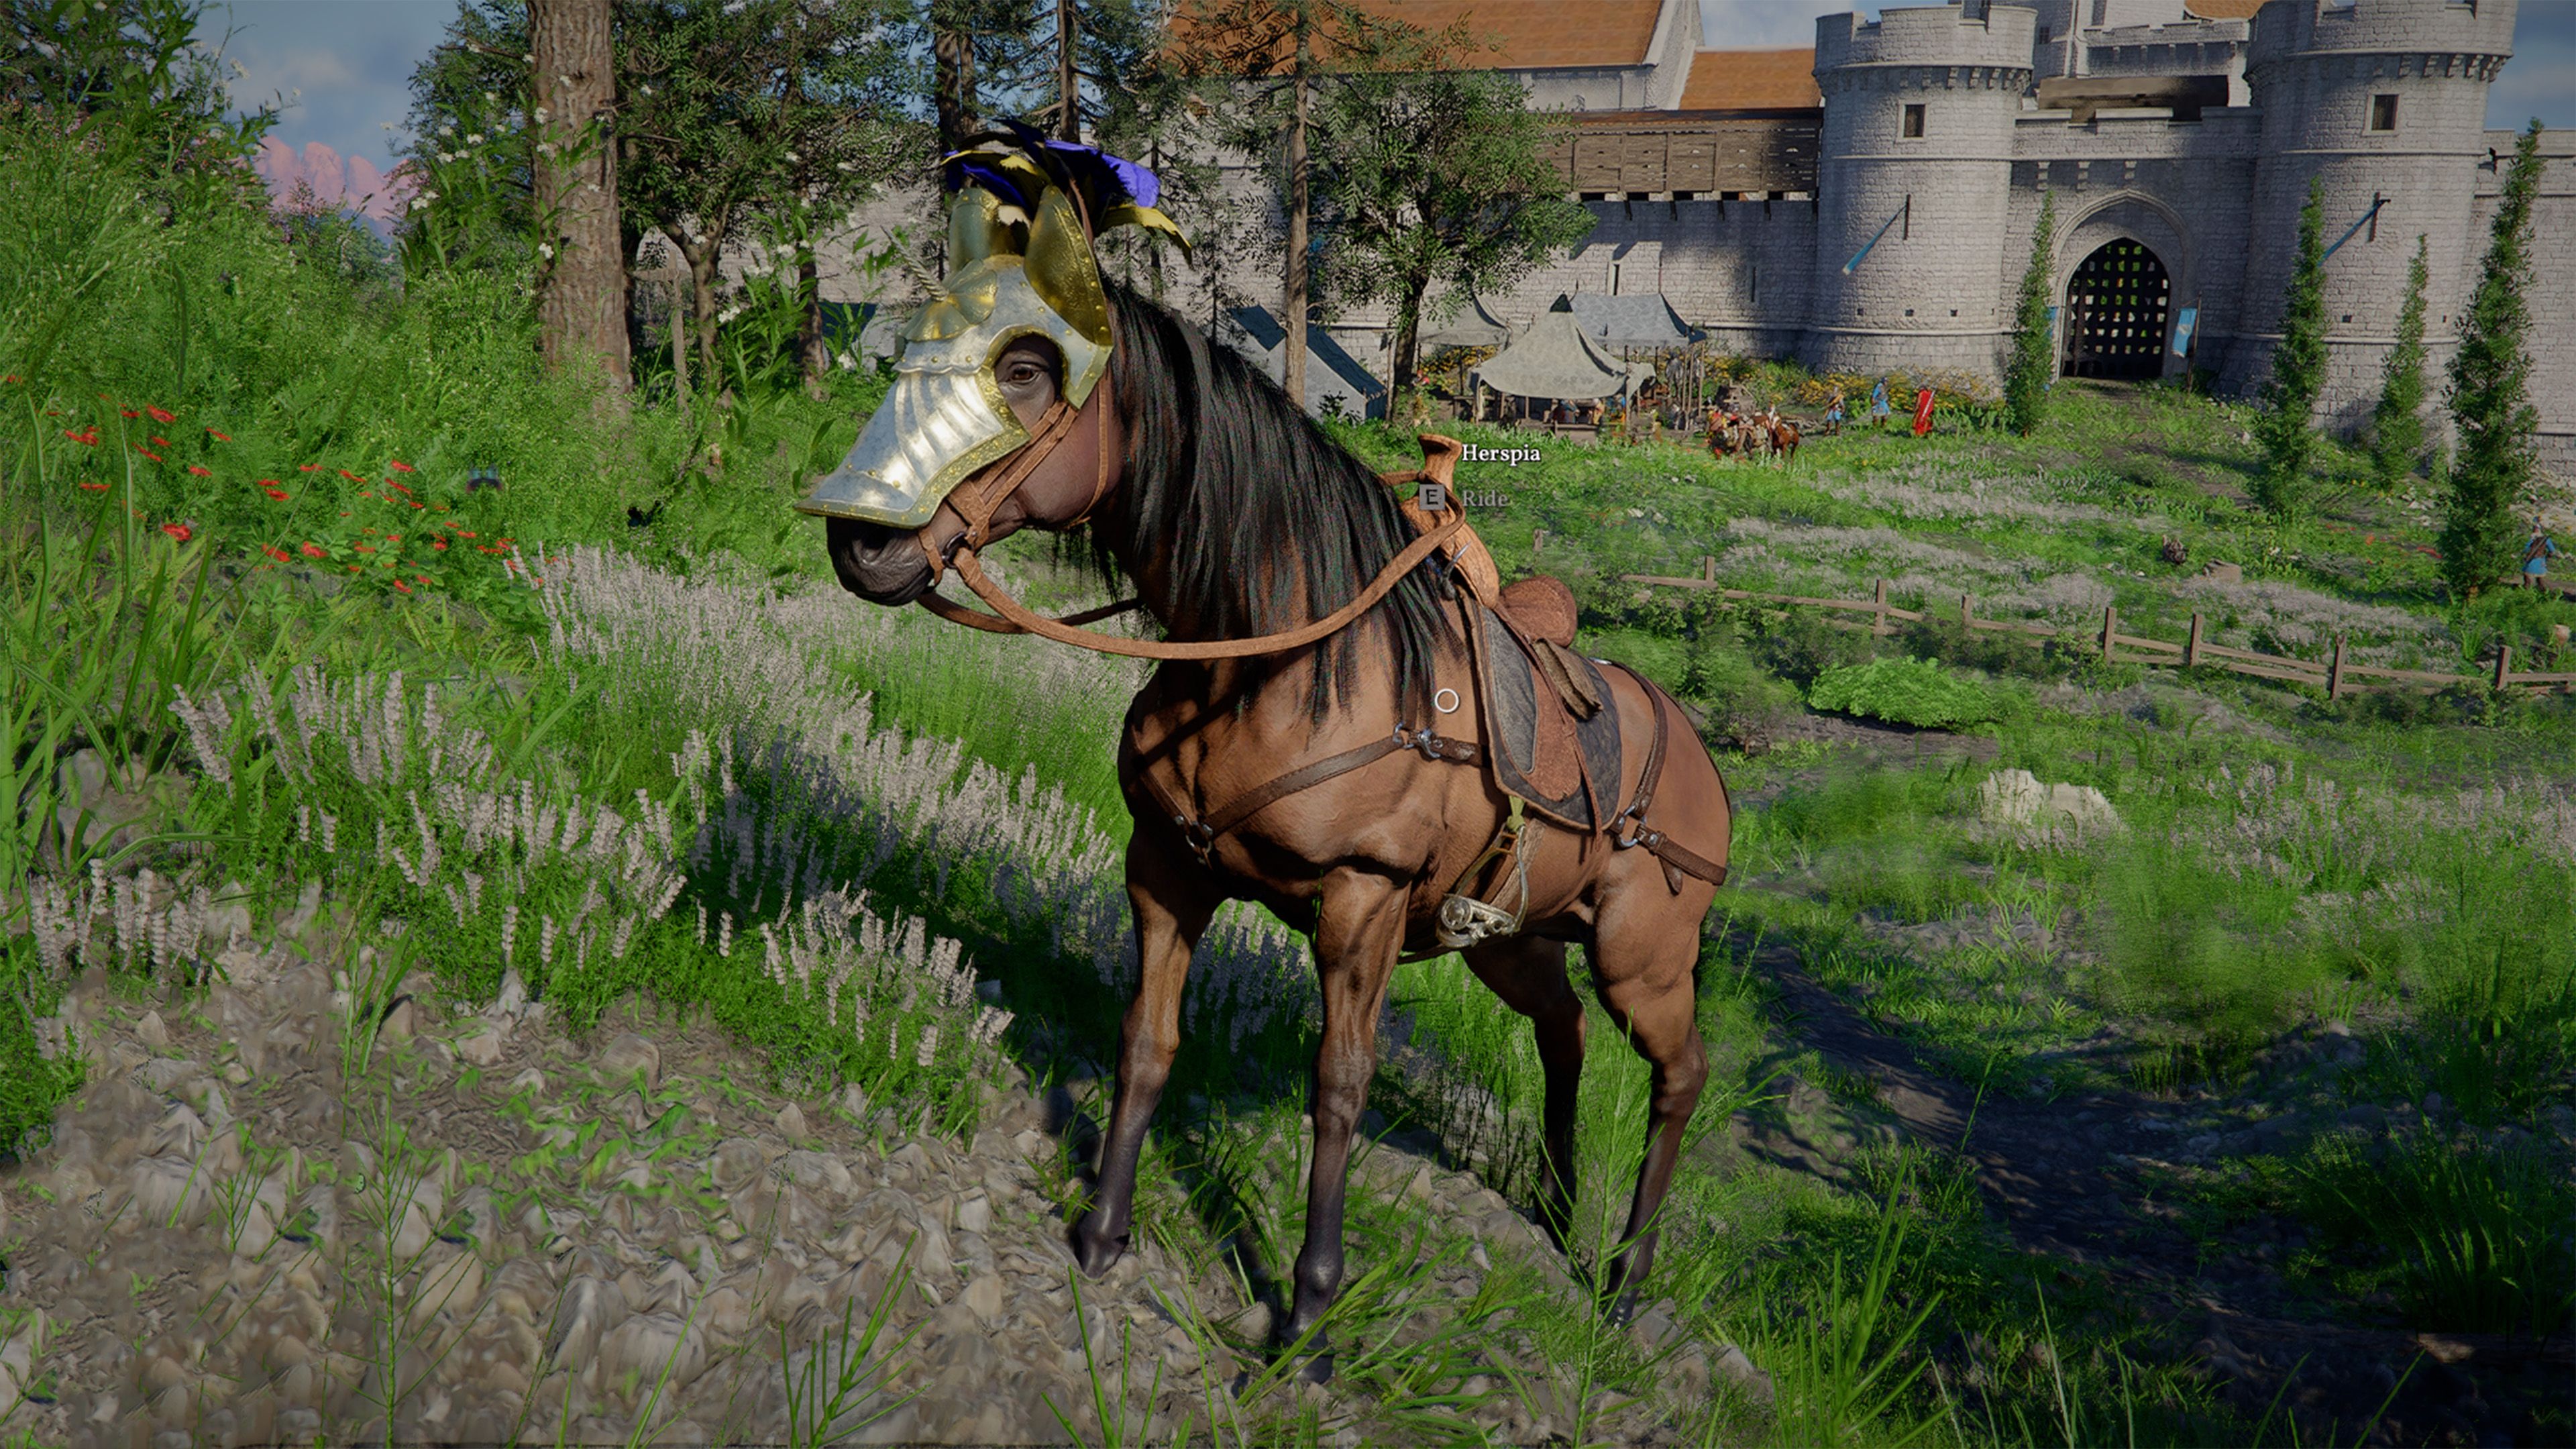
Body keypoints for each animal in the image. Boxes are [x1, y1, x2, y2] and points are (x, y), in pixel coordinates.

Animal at [824, 282, 1732, 1374]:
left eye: (1027, 371)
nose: (863, 544)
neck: (1278, 665)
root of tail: (1705, 766)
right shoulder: (1165, 869)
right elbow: (1146, 1040)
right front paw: (1102, 1231)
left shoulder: (1363, 904)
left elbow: (1338, 1086)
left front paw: (1308, 1317)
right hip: (1511, 943)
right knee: (1566, 1036)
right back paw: (1557, 1216)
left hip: (1644, 962)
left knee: (1680, 1077)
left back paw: (1627, 1282)